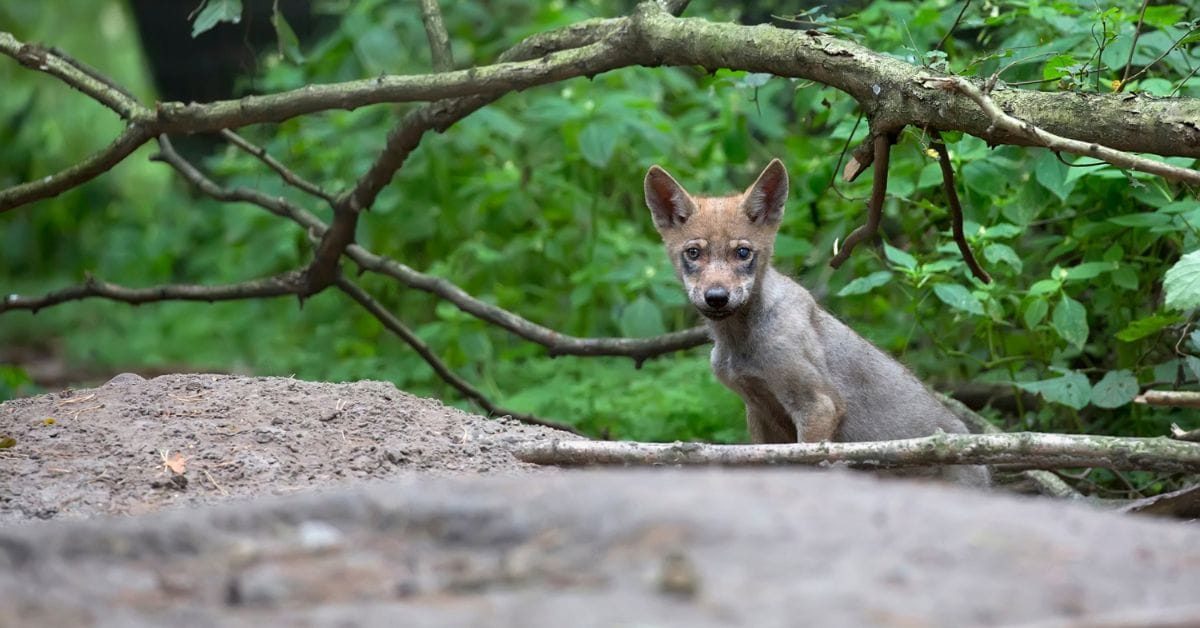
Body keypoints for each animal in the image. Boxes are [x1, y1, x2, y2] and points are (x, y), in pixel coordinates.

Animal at [644, 158, 989, 487]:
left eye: (742, 253)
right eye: (693, 253)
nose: (716, 297)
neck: (739, 345)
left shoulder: (818, 405)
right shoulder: (759, 411)